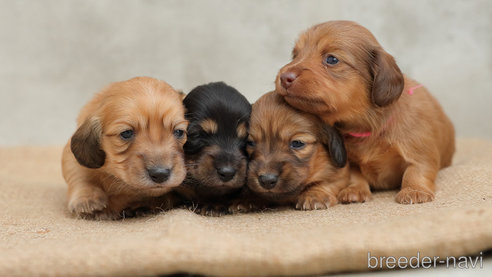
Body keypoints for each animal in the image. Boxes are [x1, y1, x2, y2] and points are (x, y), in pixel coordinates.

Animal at [274, 20, 456, 204]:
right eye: (295, 55)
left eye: (332, 59)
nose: (284, 77)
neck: (368, 127)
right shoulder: (349, 161)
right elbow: (355, 175)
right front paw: (355, 190)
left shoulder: (419, 151)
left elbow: (416, 171)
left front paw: (414, 190)